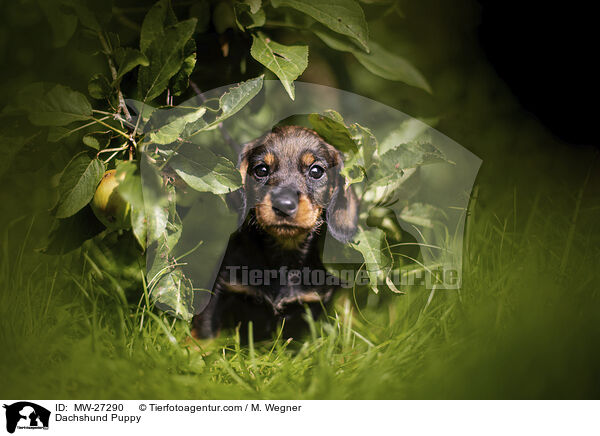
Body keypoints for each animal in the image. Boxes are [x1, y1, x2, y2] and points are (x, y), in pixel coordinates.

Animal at [191, 124, 356, 338]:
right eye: (261, 170)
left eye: (316, 171)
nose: (284, 204)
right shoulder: (220, 289)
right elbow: (205, 331)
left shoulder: (311, 306)